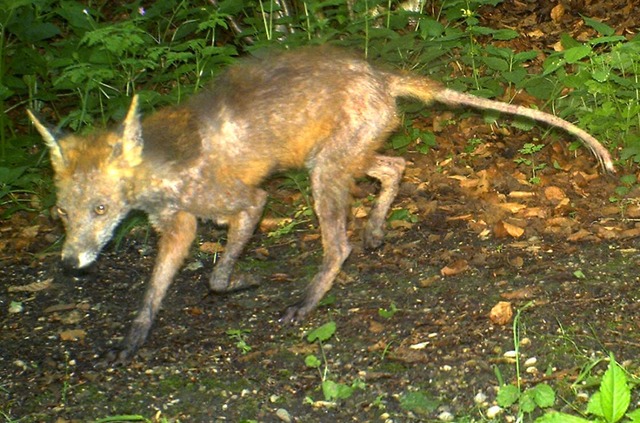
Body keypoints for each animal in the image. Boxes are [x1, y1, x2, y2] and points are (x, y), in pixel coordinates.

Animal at [26, 47, 616, 364]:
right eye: (63, 213)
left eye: (101, 210)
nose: (70, 263)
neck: (164, 173)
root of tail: (379, 73)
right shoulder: (177, 227)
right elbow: (150, 299)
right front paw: (129, 346)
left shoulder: (246, 202)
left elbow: (216, 277)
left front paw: (245, 282)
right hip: (344, 158)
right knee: (396, 168)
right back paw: (376, 230)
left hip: (324, 171)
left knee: (340, 245)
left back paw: (309, 300)